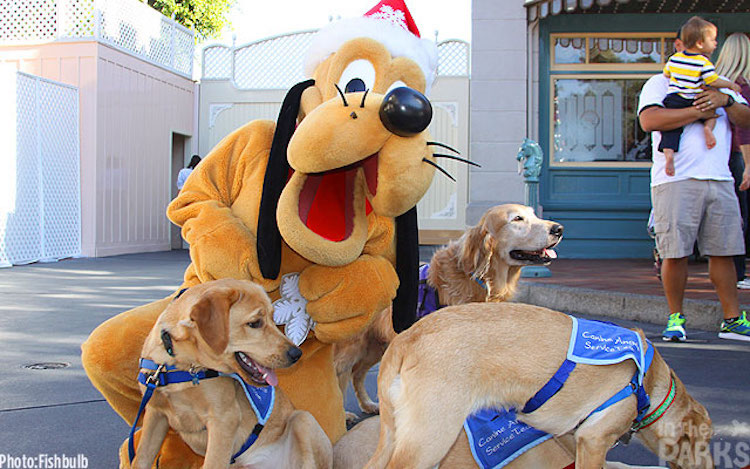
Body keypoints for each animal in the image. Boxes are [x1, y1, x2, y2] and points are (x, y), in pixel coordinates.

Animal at [131, 280, 334, 466]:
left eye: (273, 320)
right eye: (255, 323)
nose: (296, 354)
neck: (182, 364)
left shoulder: (224, 419)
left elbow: (212, 463)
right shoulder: (155, 414)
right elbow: (141, 457)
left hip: (303, 419)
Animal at [366, 302, 716, 466]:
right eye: (705, 441)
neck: (647, 381)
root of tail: (406, 337)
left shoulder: (575, 439)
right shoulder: (595, 440)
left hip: (395, 435)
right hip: (430, 439)